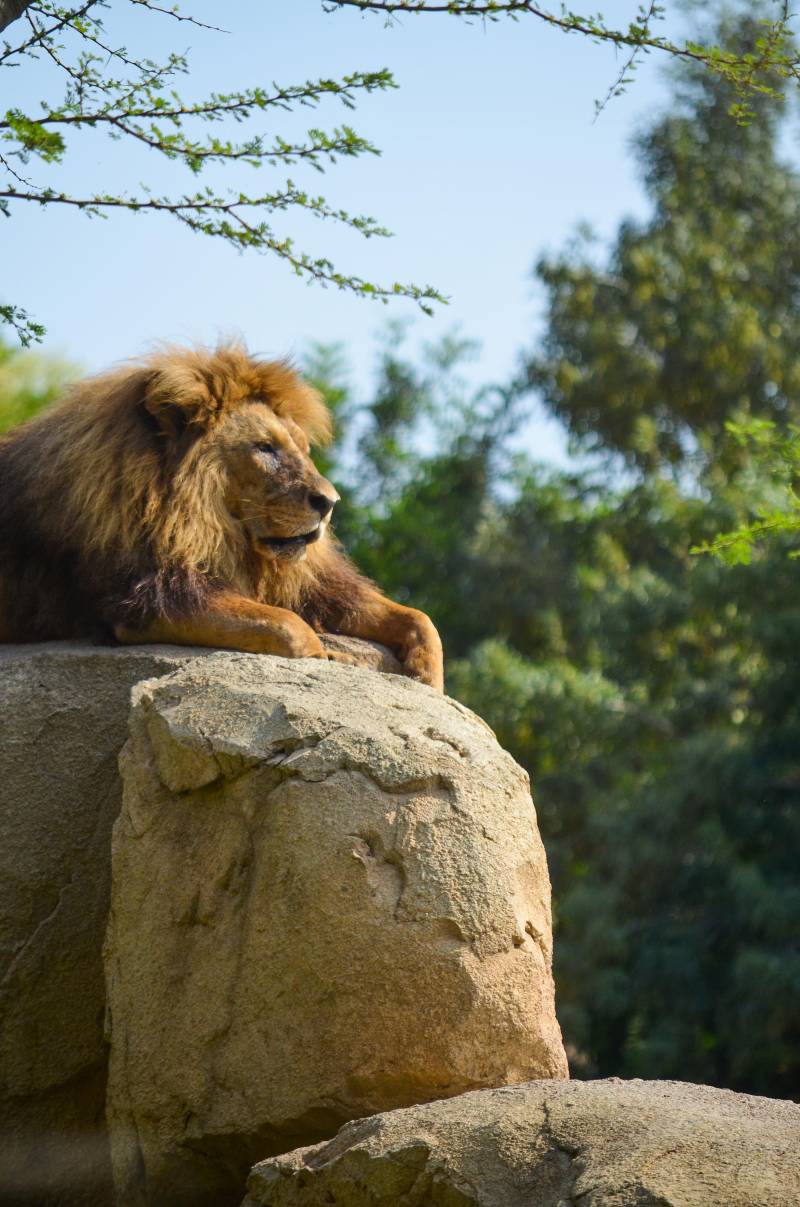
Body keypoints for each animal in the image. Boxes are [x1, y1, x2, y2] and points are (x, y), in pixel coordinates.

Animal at [0, 345, 444, 695]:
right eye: (265, 448)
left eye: (303, 449)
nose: (330, 501)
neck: (211, 529)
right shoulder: (143, 601)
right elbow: (287, 626)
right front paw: (331, 657)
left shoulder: (310, 584)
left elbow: (419, 618)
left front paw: (427, 679)